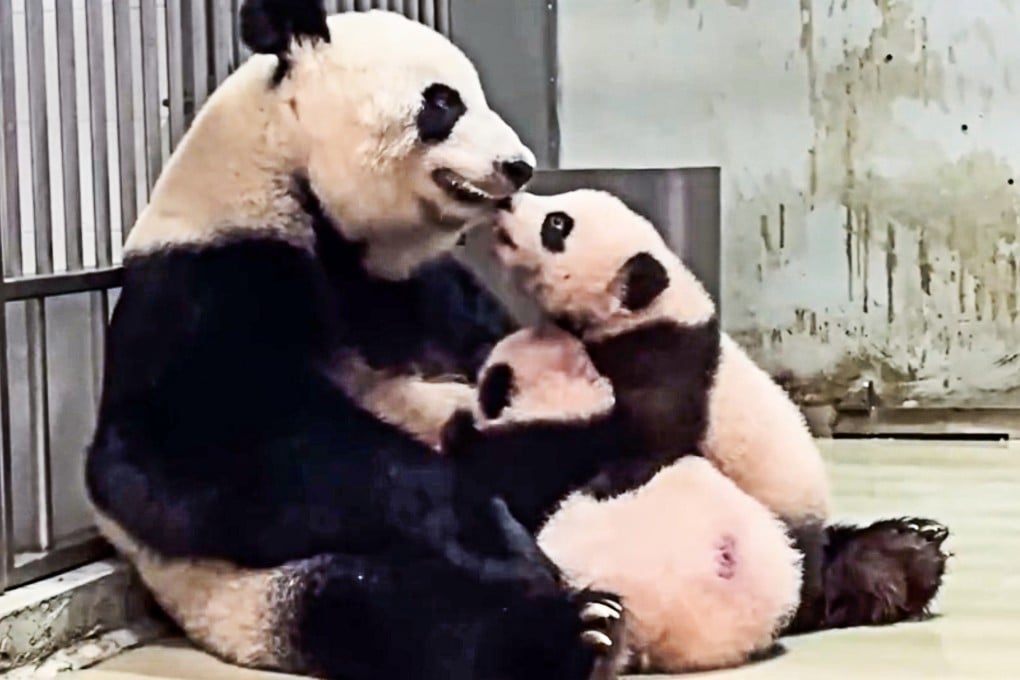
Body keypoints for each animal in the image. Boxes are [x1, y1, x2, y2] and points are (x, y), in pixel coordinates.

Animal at [84, 2, 627, 678]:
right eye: (442, 103)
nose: (519, 166)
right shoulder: (206, 276)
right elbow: (184, 450)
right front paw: (488, 528)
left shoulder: (419, 286)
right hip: (257, 593)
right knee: (389, 607)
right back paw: (578, 629)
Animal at [481, 188, 950, 634]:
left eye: (557, 224)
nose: (507, 201)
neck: (653, 309)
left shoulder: (667, 359)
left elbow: (649, 435)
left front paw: (606, 480)